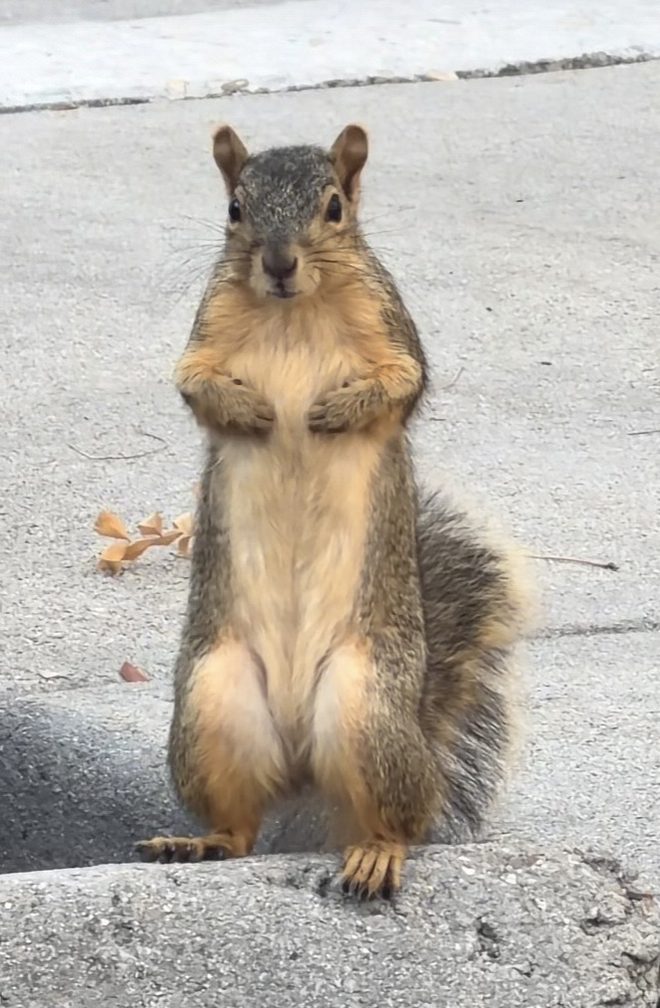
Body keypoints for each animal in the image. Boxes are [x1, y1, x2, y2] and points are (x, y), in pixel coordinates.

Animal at [136, 122, 534, 899]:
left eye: (333, 209)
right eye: (235, 208)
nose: (279, 263)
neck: (294, 310)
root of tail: (303, 766)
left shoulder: (391, 326)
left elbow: (402, 382)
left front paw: (335, 410)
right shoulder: (206, 332)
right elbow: (195, 383)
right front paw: (250, 411)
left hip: (366, 708)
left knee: (400, 819)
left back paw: (378, 853)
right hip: (210, 708)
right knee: (241, 828)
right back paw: (199, 843)